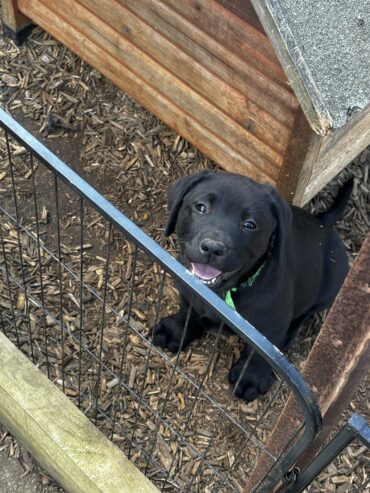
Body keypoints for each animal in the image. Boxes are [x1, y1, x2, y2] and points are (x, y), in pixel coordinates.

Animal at [152, 171, 352, 402]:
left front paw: (251, 378)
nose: (212, 247)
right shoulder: (187, 293)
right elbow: (187, 313)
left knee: (302, 317)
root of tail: (322, 224)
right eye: (200, 207)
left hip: (329, 289)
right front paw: (174, 331)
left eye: (250, 224)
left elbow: (258, 355)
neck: (221, 293)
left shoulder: (271, 327)